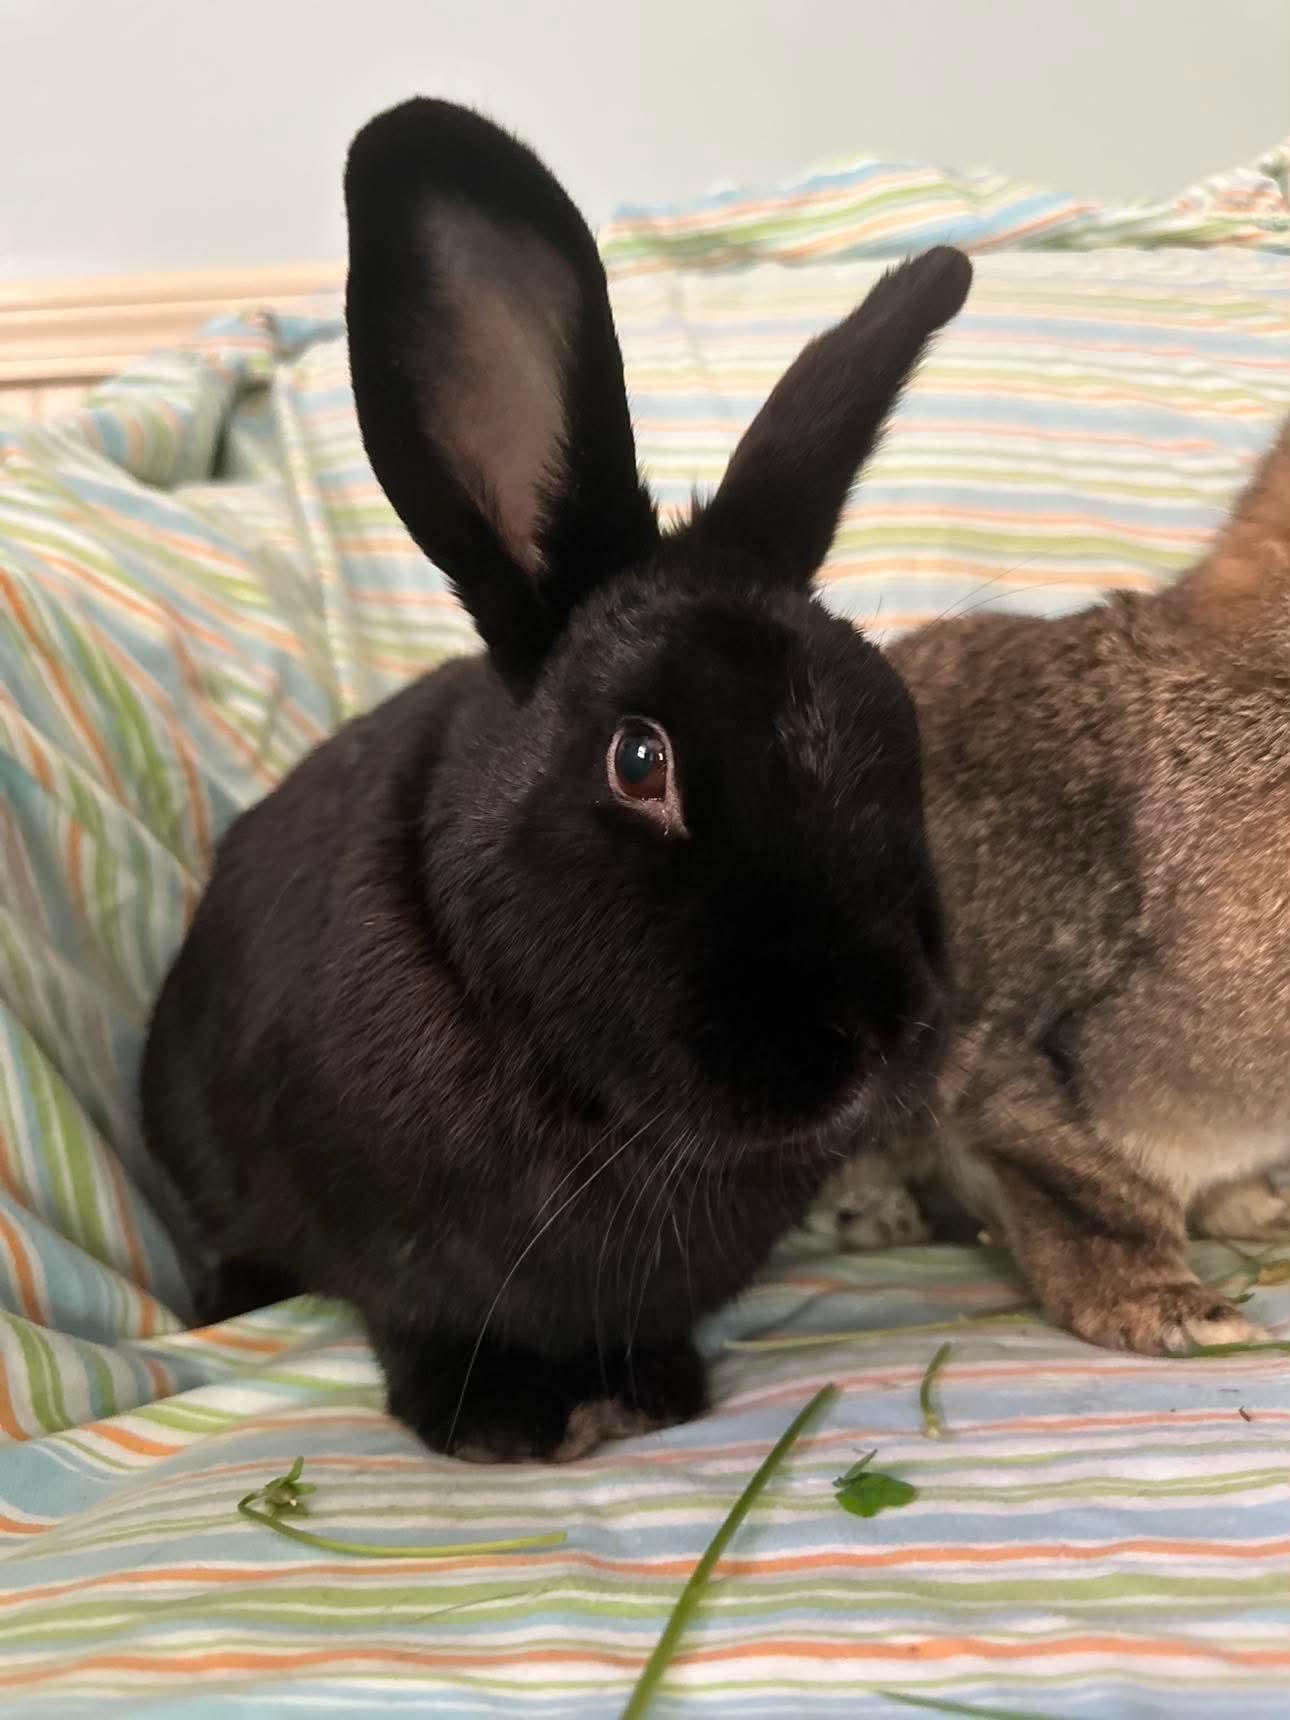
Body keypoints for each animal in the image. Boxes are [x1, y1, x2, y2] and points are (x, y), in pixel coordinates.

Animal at [140, 97, 971, 1462]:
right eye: (640, 759)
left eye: (895, 723)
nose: (871, 1032)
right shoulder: (398, 1267)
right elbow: (417, 1323)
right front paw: (492, 1424)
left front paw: (648, 1388)